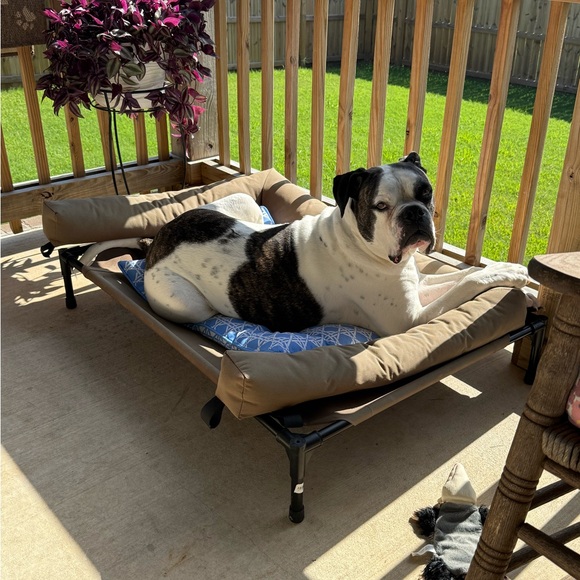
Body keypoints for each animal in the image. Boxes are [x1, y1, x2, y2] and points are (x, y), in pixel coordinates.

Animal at [83, 153, 529, 336]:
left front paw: (504, 268)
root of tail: (157, 239)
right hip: (187, 302)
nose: (414, 214)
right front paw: (511, 272)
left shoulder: (416, 286)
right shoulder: (410, 320)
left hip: (241, 202)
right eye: (381, 206)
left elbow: (461, 277)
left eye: (426, 193)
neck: (358, 242)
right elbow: (465, 284)